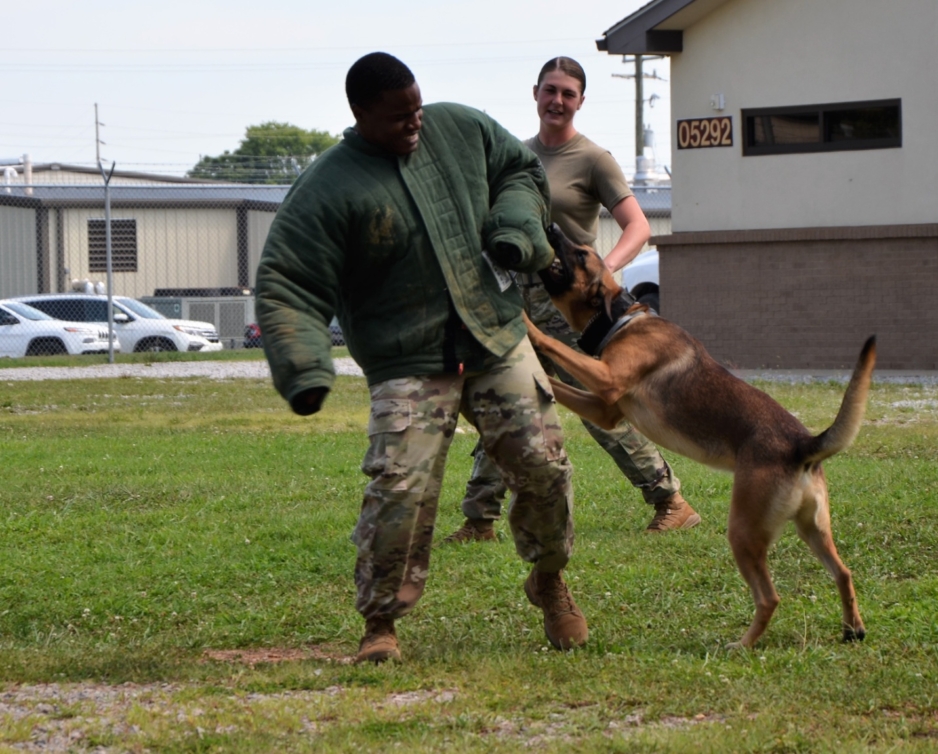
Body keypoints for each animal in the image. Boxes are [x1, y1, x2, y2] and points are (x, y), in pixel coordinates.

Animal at [524, 222, 872, 648]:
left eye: (582, 254)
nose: (551, 225)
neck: (622, 320)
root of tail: (801, 446)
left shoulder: (605, 379)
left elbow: (552, 343)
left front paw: (524, 324)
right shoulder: (605, 409)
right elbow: (557, 385)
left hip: (743, 532)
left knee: (770, 597)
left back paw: (743, 645)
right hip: (813, 529)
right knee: (844, 572)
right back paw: (852, 628)